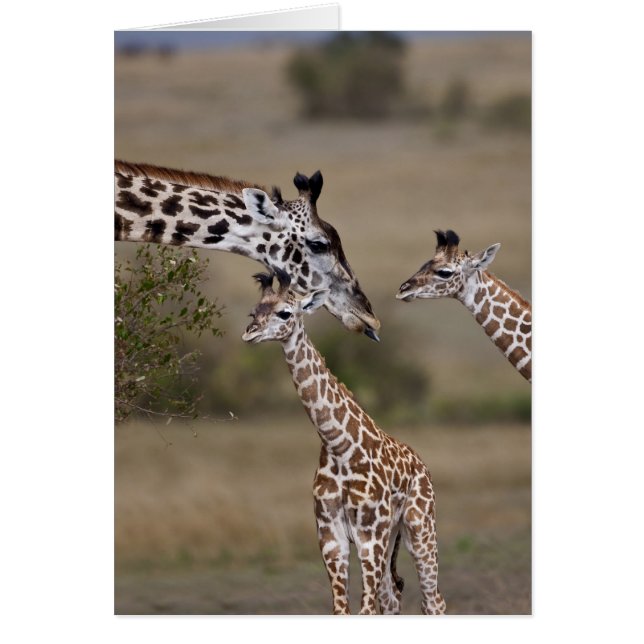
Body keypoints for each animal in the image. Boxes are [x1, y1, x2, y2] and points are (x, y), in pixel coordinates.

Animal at [242, 269, 446, 616]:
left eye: (285, 312)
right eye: (253, 312)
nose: (249, 334)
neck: (339, 445)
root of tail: (422, 464)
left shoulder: (369, 535)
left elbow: (365, 610)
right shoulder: (330, 535)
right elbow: (342, 609)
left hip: (419, 526)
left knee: (433, 600)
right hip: (393, 536)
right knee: (392, 598)